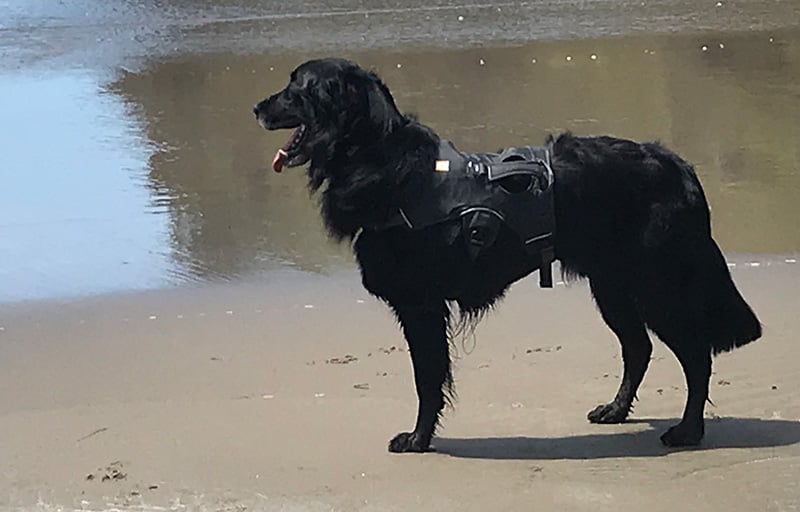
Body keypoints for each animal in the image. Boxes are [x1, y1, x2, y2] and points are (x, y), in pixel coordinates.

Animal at [253, 58, 760, 454]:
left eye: (296, 86)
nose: (257, 107)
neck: (381, 160)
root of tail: (677, 165)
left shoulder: (420, 305)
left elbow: (427, 378)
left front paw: (418, 439)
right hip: (612, 285)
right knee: (639, 348)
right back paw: (616, 410)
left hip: (657, 286)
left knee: (695, 354)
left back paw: (688, 431)